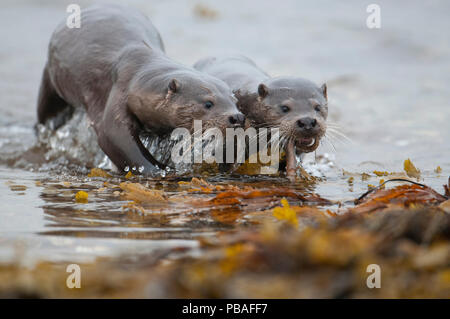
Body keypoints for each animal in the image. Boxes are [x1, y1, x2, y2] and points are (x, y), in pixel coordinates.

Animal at [37, 5, 244, 175]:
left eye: (235, 102)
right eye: (208, 103)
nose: (237, 117)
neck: (139, 76)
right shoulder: (119, 91)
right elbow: (113, 136)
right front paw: (160, 170)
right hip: (51, 79)